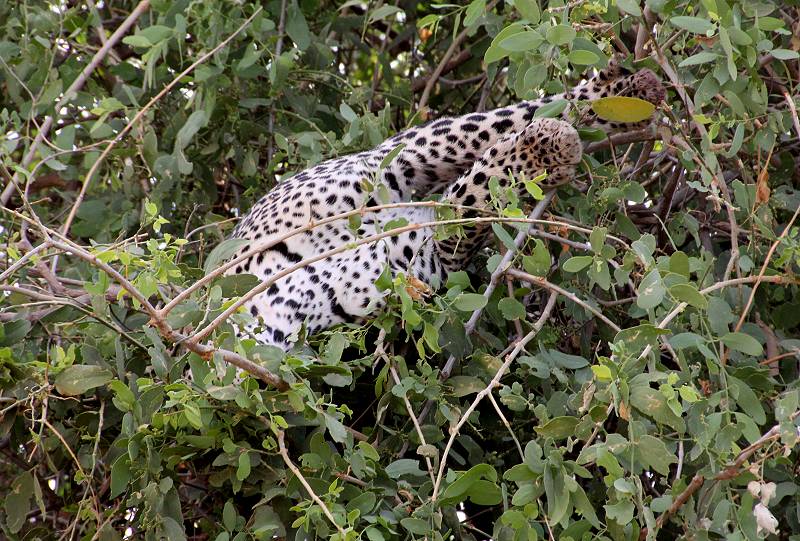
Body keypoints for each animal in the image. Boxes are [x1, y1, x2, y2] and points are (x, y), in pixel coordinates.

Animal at [222, 60, 664, 346]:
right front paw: (541, 157)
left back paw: (627, 94)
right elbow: (468, 204)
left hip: (396, 157)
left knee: (507, 117)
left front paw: (545, 146)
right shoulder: (417, 262)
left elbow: (481, 168)